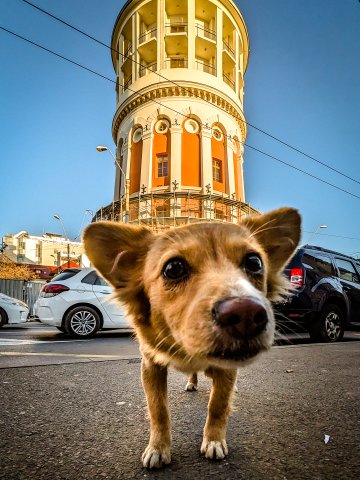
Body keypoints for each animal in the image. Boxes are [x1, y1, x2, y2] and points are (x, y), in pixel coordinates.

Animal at [83, 207, 300, 468]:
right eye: (173, 268)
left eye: (254, 262)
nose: (246, 313)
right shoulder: (150, 365)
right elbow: (158, 410)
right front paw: (158, 448)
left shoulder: (225, 368)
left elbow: (218, 405)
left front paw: (214, 440)